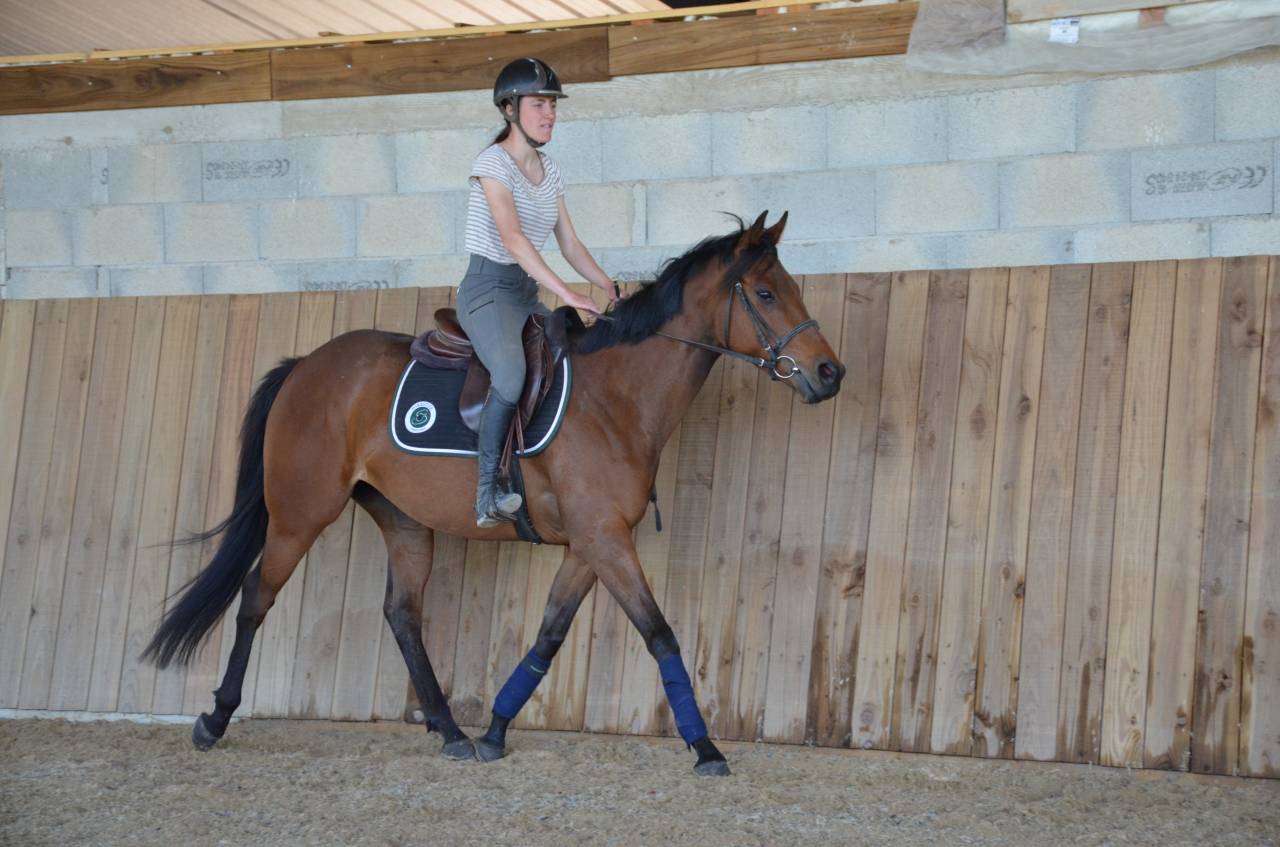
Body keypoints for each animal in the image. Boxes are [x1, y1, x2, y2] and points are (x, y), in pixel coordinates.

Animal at [144, 211, 845, 776]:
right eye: (764, 292)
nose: (830, 373)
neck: (614, 398)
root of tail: (306, 366)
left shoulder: (588, 545)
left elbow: (548, 638)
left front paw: (496, 731)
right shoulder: (605, 541)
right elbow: (661, 635)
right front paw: (705, 747)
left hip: (404, 522)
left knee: (402, 615)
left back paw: (450, 730)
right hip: (299, 515)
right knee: (255, 600)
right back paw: (215, 720)